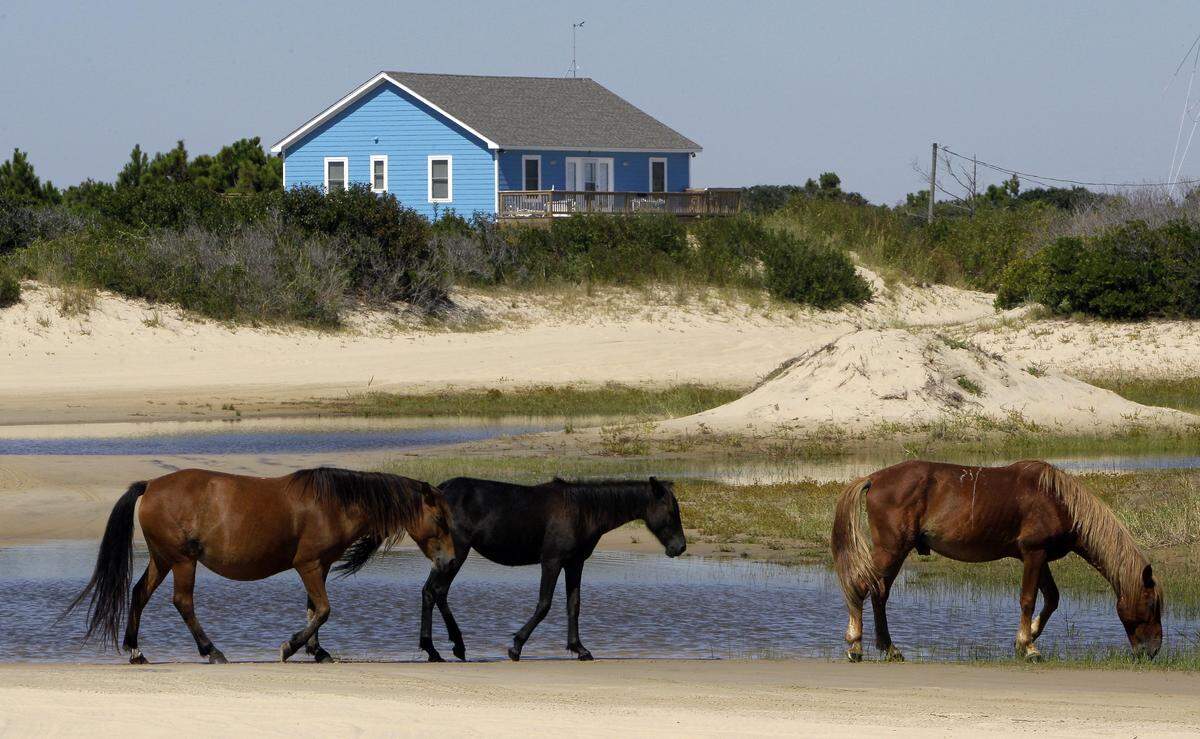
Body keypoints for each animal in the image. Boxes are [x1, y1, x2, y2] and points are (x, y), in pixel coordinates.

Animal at [65, 467, 456, 664]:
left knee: (139, 595)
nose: (450, 560)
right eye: (439, 518)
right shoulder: (308, 565)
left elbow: (314, 610)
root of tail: (150, 485)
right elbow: (324, 609)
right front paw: (291, 647)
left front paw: (317, 651)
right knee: (183, 602)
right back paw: (212, 651)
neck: (333, 503)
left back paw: (136, 651)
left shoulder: (320, 567)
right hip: (183, 561)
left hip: (163, 559)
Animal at [413, 476, 687, 662]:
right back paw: (449, 646)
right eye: (671, 511)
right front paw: (516, 646)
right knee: (437, 591)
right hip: (457, 553)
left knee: (432, 592)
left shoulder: (575, 563)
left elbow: (574, 605)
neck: (583, 510)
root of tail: (439, 491)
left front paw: (579, 648)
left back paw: (437, 649)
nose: (680, 547)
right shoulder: (552, 561)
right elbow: (544, 604)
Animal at [832, 460, 1163, 663]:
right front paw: (1028, 647)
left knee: (879, 593)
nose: (1153, 650)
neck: (1057, 500)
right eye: (1150, 605)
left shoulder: (1040, 558)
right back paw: (855, 645)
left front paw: (1028, 637)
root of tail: (873, 479)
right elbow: (1029, 599)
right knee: (861, 587)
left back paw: (889, 649)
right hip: (891, 550)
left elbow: (1051, 599)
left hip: (895, 553)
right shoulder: (1034, 554)